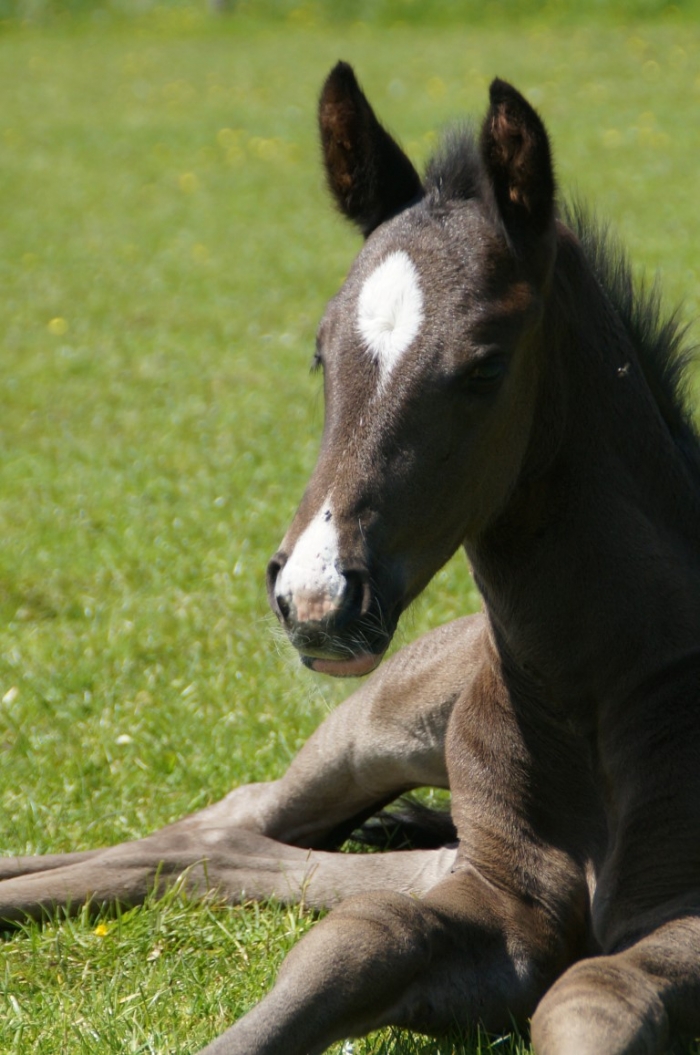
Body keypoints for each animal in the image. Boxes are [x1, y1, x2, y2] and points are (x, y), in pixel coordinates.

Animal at [1, 68, 700, 1055]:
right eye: (321, 353)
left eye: (485, 366)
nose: (315, 596)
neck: (591, 685)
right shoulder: (493, 888)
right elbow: (361, 938)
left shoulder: (667, 915)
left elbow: (592, 992)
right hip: (376, 726)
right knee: (224, 820)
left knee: (217, 852)